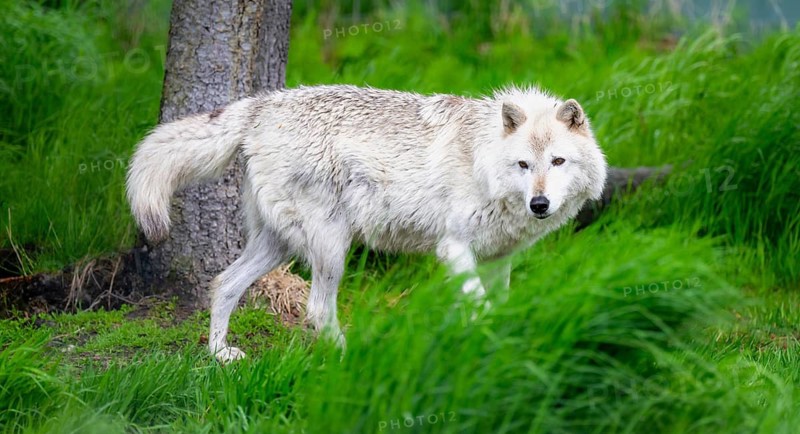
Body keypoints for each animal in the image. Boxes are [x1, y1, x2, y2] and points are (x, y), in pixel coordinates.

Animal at [126, 85, 607, 362]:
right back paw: (351, 357)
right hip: (330, 249)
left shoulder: (497, 258)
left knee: (223, 283)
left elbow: (496, 305)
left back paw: (219, 354)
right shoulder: (453, 247)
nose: (540, 204)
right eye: (524, 164)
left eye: (558, 161)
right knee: (317, 311)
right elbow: (479, 306)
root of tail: (260, 106)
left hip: (277, 247)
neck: (483, 158)